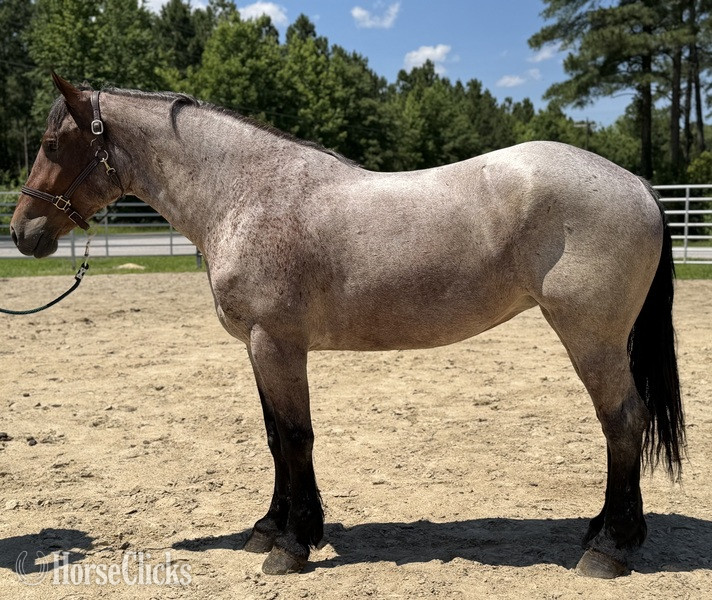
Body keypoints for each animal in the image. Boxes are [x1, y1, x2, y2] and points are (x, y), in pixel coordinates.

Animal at [10, 73, 685, 578]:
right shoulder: (260, 348)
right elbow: (275, 439)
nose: (22, 232)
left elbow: (296, 437)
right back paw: (600, 532)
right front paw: (269, 529)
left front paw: (292, 544)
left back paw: (609, 550)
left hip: (592, 340)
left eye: (52, 144)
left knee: (623, 422)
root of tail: (636, 184)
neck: (246, 194)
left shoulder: (278, 344)